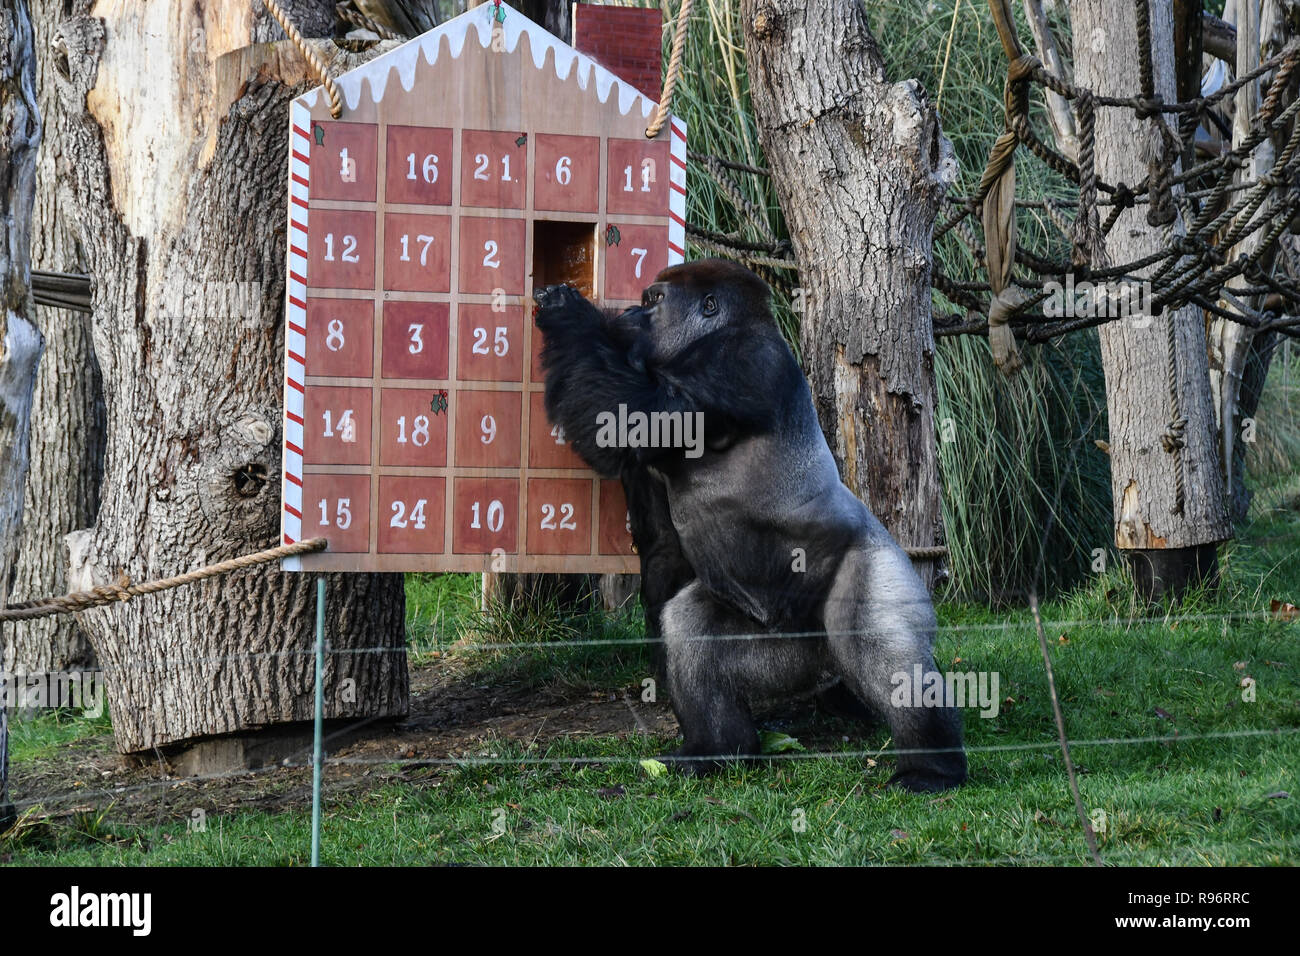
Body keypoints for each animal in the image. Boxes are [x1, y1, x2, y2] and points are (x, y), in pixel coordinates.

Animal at [533, 256, 972, 790]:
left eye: (653, 302)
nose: (630, 316)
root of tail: (821, 662)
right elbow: (661, 550)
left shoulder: (741, 360)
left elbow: (641, 414)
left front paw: (567, 315)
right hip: (785, 652)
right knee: (692, 625)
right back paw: (718, 749)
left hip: (880, 568)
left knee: (883, 653)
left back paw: (933, 764)